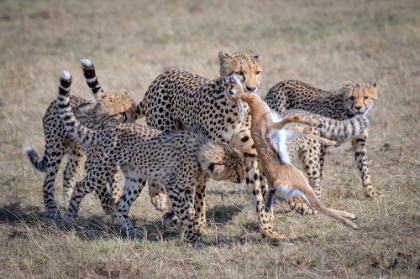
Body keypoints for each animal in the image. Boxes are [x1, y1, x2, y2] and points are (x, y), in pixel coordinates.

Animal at [26, 60, 138, 220]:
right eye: (122, 113)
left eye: (134, 113)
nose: (133, 125)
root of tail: (53, 102)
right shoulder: (93, 163)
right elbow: (100, 186)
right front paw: (108, 205)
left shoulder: (110, 162)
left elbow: (114, 183)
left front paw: (115, 201)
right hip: (56, 149)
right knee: (48, 180)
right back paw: (52, 209)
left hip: (75, 152)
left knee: (67, 173)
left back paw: (68, 202)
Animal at [54, 71, 244, 244]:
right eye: (235, 170)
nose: (242, 178)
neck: (203, 152)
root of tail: (112, 129)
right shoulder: (174, 186)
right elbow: (185, 210)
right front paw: (190, 235)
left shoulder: (184, 186)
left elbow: (189, 207)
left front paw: (180, 221)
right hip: (102, 170)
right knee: (80, 185)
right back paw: (69, 216)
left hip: (136, 177)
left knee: (121, 205)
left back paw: (132, 230)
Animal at [136, 51, 288, 242]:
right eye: (239, 72)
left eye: (257, 72)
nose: (252, 88)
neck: (235, 107)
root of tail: (163, 74)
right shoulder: (205, 153)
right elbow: (200, 192)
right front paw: (199, 223)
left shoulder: (249, 157)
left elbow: (258, 196)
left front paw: (267, 229)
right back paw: (161, 200)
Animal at [264, 80, 378, 213]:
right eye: (352, 97)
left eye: (366, 97)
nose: (358, 107)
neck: (347, 110)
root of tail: (278, 84)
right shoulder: (321, 143)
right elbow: (319, 170)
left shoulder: (360, 142)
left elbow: (364, 169)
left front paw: (371, 193)